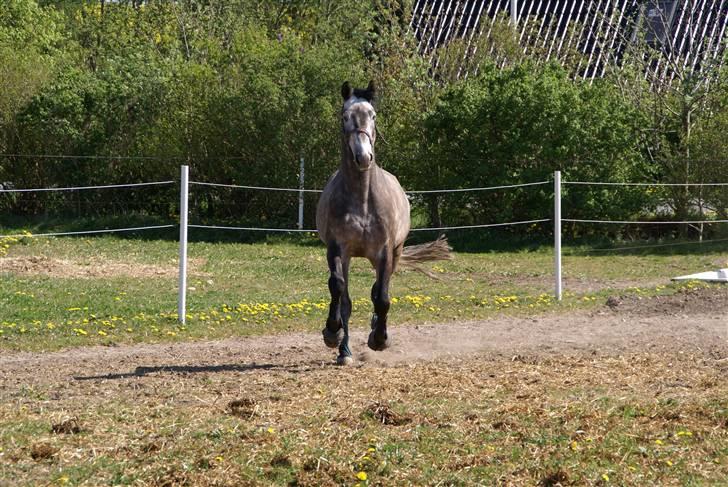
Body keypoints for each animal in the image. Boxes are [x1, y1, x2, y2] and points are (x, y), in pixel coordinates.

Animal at [318, 83, 450, 366]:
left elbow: (382, 297)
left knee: (378, 289)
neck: (363, 199)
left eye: (373, 115)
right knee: (346, 299)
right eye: (345, 116)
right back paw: (345, 351)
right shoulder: (337, 249)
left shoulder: (385, 252)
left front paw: (379, 339)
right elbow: (338, 290)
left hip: (394, 253)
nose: (363, 157)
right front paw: (332, 334)